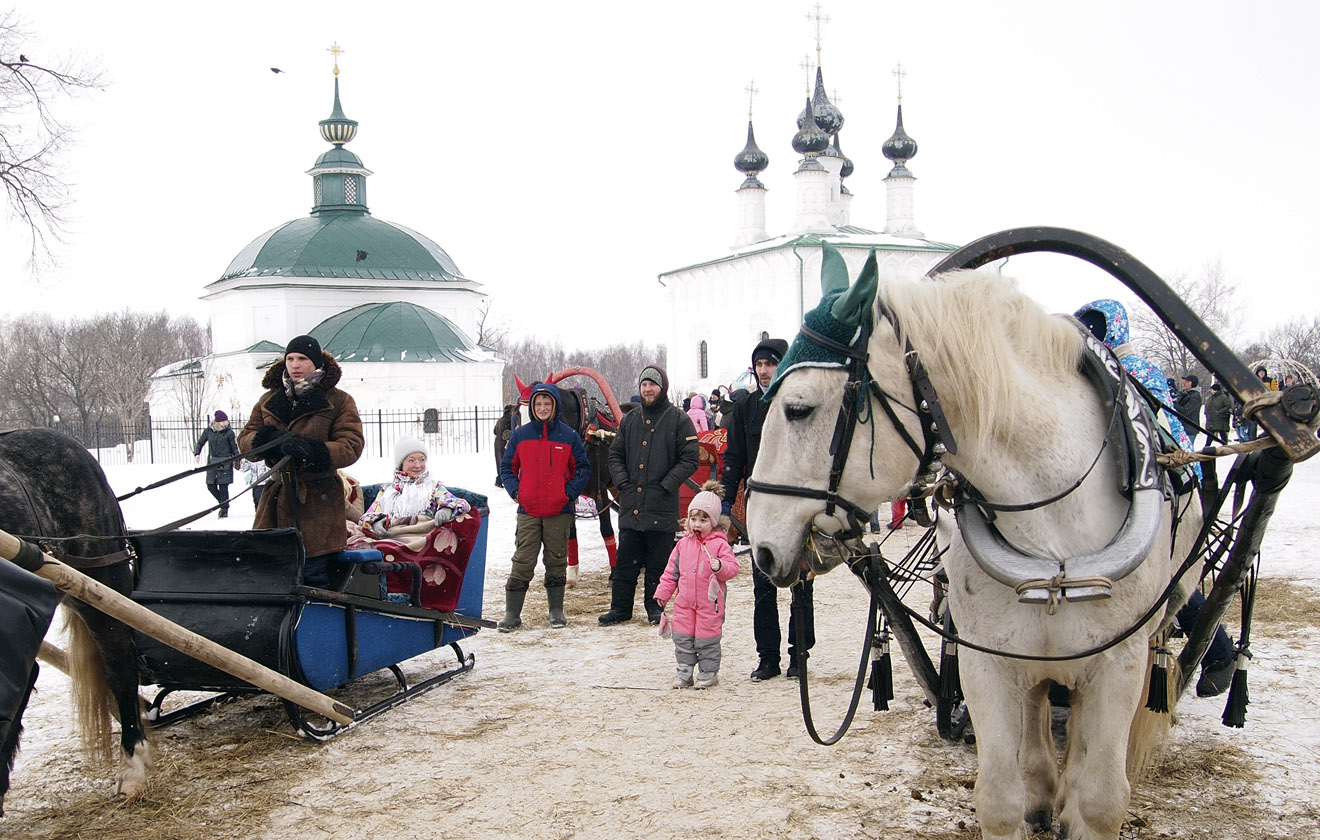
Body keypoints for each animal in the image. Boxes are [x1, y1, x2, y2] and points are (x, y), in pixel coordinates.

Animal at [749, 258, 1203, 834]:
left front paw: (1081, 801)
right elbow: (999, 798)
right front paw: (1027, 800)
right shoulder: (988, 659)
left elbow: (1100, 800)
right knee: (1037, 713)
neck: (1053, 529)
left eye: (798, 408)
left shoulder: (1117, 663)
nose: (760, 547)